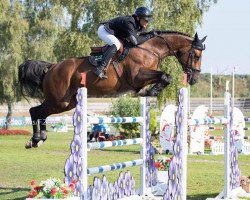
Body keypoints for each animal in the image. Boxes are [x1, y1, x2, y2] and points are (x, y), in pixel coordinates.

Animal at [18, 30, 206, 148]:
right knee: (35, 111)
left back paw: (39, 139)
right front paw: (151, 91)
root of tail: (51, 67)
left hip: (66, 103)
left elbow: (164, 77)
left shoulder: (141, 78)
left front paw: (147, 92)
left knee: (40, 112)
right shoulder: (137, 76)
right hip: (59, 101)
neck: (150, 49)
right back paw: (35, 139)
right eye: (196, 55)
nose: (194, 79)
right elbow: (166, 76)